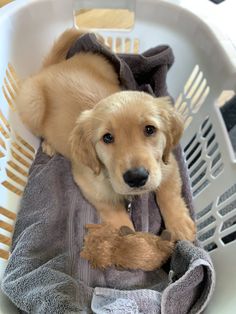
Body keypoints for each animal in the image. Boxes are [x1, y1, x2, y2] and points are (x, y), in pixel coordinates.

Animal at [16, 28, 195, 270]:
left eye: (150, 129)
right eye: (107, 138)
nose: (136, 178)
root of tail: (51, 68)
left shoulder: (166, 164)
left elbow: (169, 194)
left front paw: (180, 225)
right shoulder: (89, 184)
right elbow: (115, 213)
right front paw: (133, 246)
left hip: (103, 63)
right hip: (31, 103)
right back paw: (49, 144)